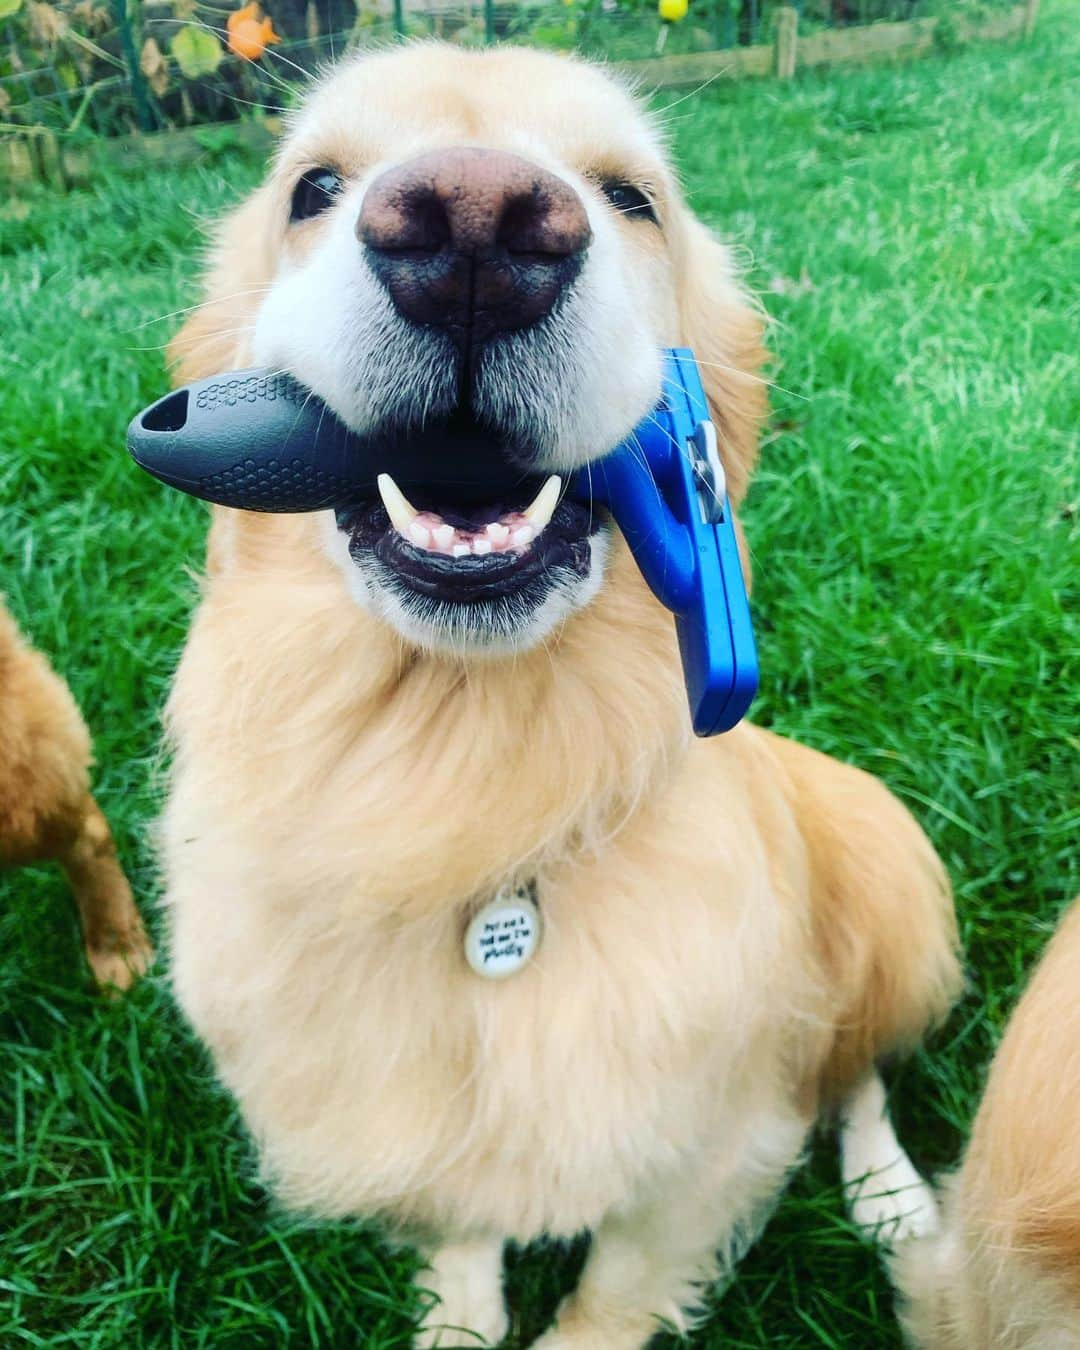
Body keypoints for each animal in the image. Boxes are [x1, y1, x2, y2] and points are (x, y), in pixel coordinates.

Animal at [162, 44, 961, 1350]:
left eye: (632, 197)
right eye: (313, 186)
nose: (476, 228)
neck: (477, 798)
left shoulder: (709, 1143)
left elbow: (610, 1293)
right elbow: (460, 1230)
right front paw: (457, 1319)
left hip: (883, 880)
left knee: (858, 1078)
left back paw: (899, 1207)